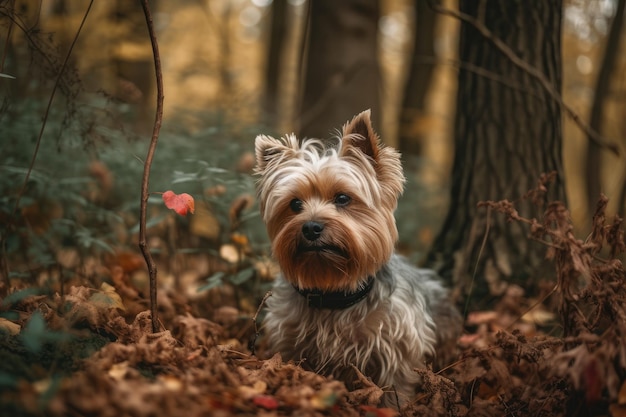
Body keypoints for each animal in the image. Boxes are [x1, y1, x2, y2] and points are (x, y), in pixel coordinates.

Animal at [251, 109, 460, 404]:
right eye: (294, 204)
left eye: (342, 198)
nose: (311, 227)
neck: (335, 292)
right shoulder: (290, 340)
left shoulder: (397, 346)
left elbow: (396, 385)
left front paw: (396, 407)